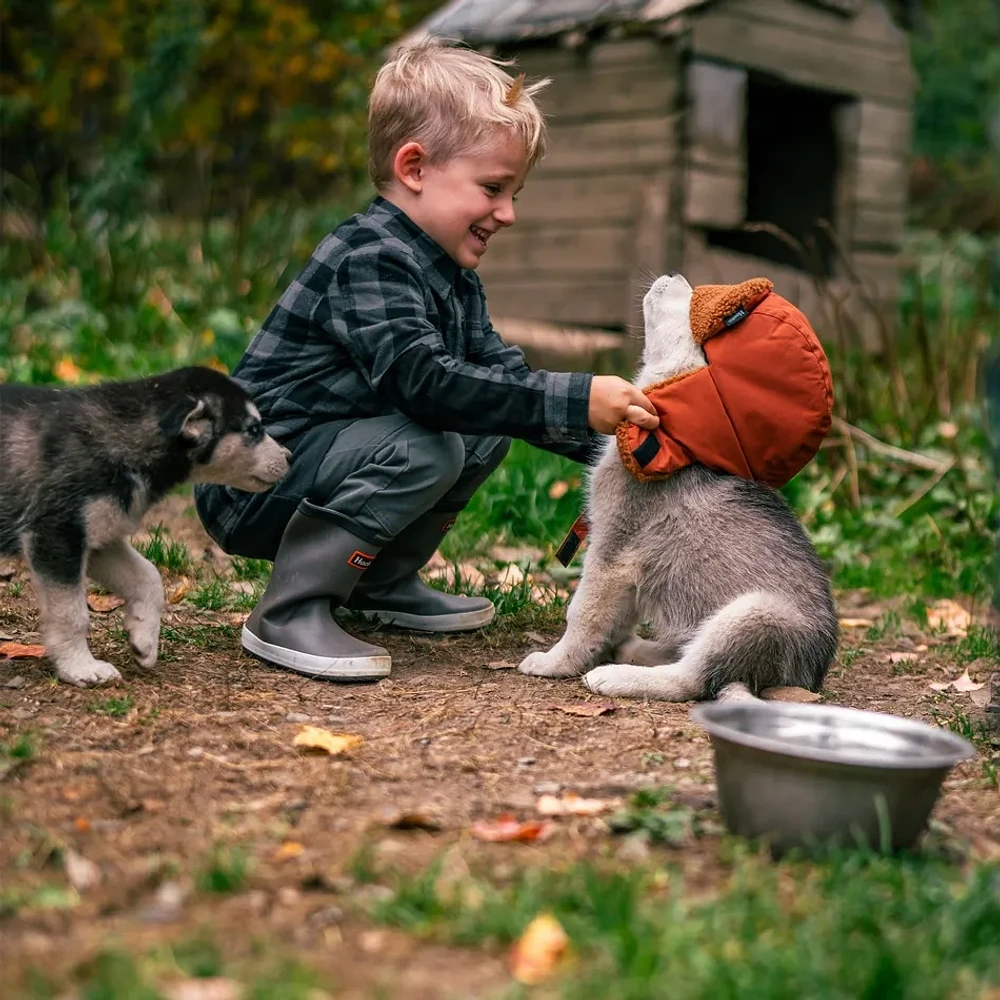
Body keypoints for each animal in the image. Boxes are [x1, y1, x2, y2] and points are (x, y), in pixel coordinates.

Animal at [0, 368, 290, 688]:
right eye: (254, 430)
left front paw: (144, 640)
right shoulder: (57, 534)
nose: (290, 456)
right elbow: (71, 613)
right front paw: (79, 667)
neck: (122, 437)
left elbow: (149, 577)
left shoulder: (100, 539)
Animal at [520, 270, 840, 700]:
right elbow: (613, 617)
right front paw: (598, 648)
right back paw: (632, 651)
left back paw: (617, 676)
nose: (675, 274)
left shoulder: (613, 547)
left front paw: (555, 662)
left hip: (750, 613)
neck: (675, 440)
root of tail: (809, 676)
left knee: (690, 679)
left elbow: (583, 611)